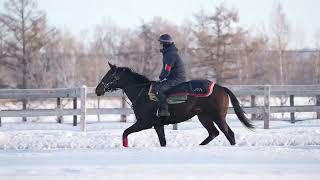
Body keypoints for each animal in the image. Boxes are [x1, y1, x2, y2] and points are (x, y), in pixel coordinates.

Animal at [95, 63, 252, 148]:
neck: (143, 93)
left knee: (229, 134)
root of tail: (222, 88)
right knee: (214, 133)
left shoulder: (145, 123)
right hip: (204, 117)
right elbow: (162, 141)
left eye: (109, 75)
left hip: (218, 117)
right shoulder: (158, 125)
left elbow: (125, 132)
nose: (98, 89)